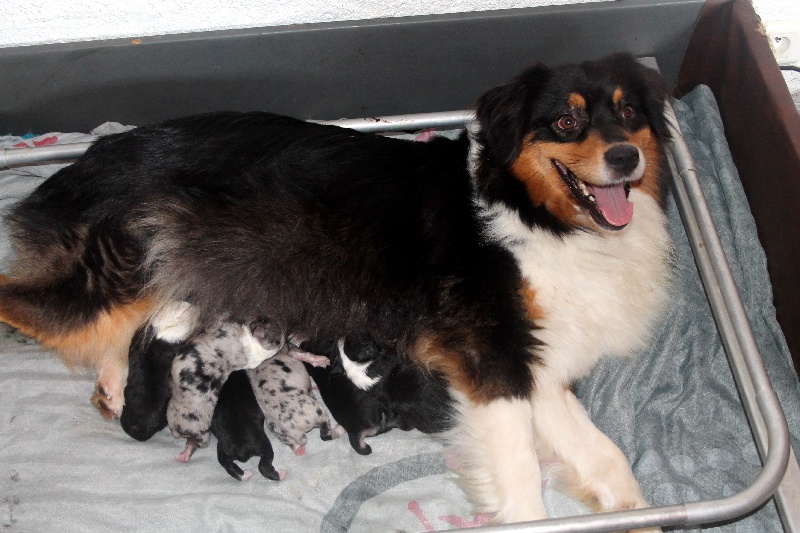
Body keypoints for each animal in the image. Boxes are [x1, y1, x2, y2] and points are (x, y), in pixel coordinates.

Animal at [0, 55, 676, 524]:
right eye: (566, 119)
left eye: (629, 115)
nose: (624, 157)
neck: (535, 213)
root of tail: (80, 164)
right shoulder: (491, 350)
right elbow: (518, 470)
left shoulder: (535, 360)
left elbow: (605, 455)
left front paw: (633, 510)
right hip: (113, 270)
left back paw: (116, 387)